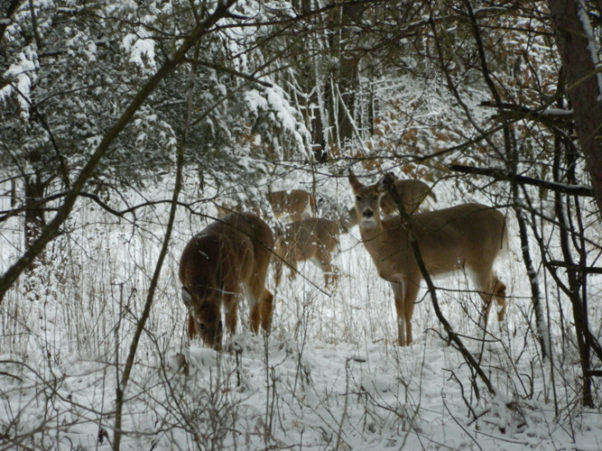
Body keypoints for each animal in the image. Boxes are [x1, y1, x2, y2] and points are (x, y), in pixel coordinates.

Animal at [177, 214, 274, 352]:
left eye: (219, 322)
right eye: (201, 324)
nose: (216, 347)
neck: (200, 261)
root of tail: (270, 231)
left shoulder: (231, 284)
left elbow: (231, 321)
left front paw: (231, 346)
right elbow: (190, 322)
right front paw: (189, 345)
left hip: (257, 271)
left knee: (254, 307)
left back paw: (254, 340)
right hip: (249, 277)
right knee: (268, 295)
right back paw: (266, 334)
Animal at [346, 172, 506, 346]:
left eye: (376, 196)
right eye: (357, 197)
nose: (367, 213)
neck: (387, 242)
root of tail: (503, 219)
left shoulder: (412, 272)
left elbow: (407, 311)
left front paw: (409, 343)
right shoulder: (394, 279)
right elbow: (398, 312)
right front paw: (400, 343)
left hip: (480, 261)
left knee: (487, 296)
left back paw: (480, 336)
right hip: (482, 263)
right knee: (500, 286)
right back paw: (501, 331)